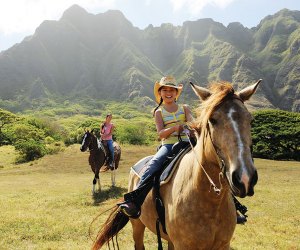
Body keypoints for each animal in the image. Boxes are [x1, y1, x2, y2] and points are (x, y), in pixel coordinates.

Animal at [92, 79, 262, 248]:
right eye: (212, 120)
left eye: (250, 119)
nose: (245, 178)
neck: (210, 201)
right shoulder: (183, 245)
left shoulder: (222, 245)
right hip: (137, 224)